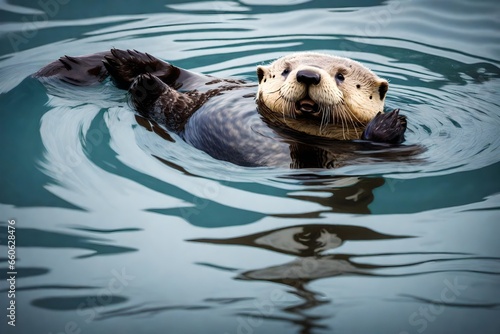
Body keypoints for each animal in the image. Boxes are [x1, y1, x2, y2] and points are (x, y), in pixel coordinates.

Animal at [34, 48, 410, 168]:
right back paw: (130, 62)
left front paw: (389, 122)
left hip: (178, 111)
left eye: (342, 76)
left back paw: (145, 84)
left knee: (162, 104)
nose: (307, 74)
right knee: (172, 74)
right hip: (202, 80)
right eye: (286, 70)